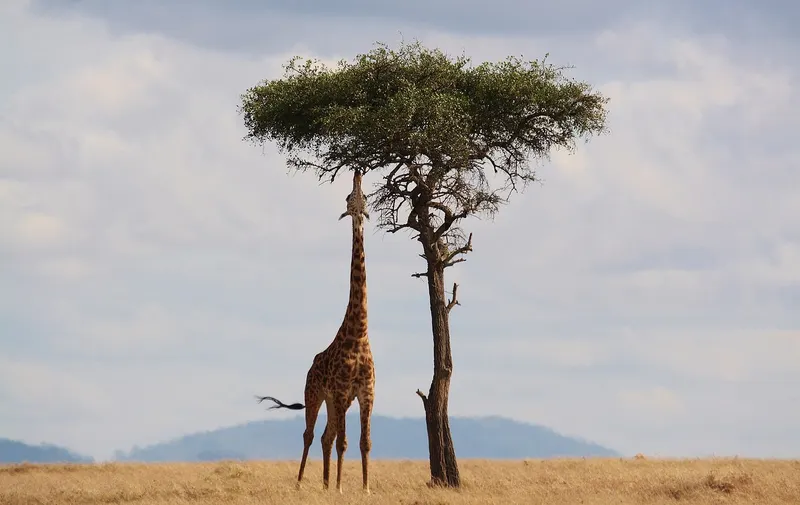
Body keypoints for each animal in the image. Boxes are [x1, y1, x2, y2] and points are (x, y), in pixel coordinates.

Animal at [256, 169, 375, 494]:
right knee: (311, 435)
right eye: (349, 197)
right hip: (315, 394)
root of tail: (310, 366)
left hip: (334, 402)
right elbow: (345, 442)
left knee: (326, 436)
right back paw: (301, 483)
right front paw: (341, 488)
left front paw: (365, 488)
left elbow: (364, 442)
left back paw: (323, 485)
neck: (359, 333)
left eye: (364, 196)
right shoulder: (343, 390)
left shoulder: (365, 392)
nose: (358, 172)